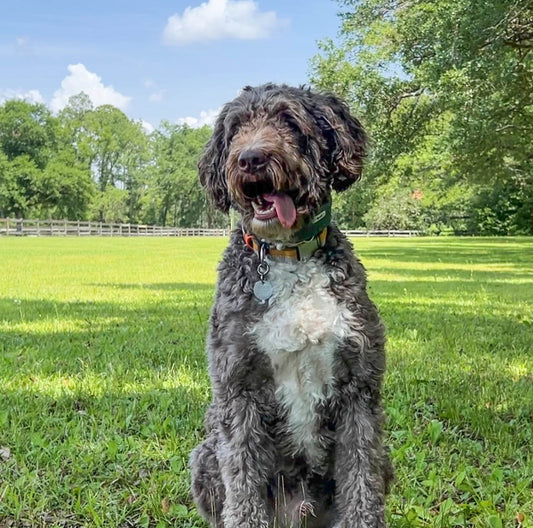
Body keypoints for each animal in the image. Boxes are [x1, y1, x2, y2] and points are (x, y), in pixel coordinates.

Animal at [189, 84, 388, 528]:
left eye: (289, 120)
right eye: (236, 128)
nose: (250, 158)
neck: (287, 256)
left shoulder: (359, 389)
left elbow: (360, 481)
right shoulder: (238, 387)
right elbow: (243, 483)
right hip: (205, 454)